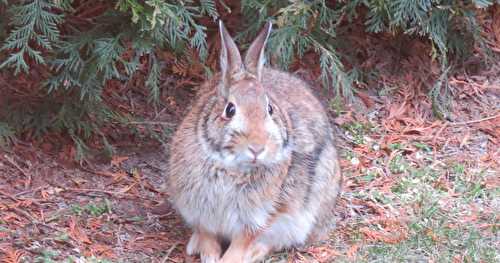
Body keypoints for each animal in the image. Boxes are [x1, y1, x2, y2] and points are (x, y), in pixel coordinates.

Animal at [168, 21, 344, 263]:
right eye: (230, 110)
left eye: (270, 109)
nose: (257, 148)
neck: (232, 167)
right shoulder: (199, 211)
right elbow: (207, 236)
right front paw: (209, 256)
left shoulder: (258, 217)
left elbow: (242, 243)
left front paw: (228, 260)